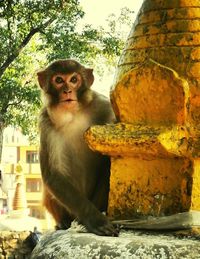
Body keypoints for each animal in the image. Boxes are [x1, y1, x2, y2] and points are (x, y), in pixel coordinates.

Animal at [37, 59, 118, 238]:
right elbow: (53, 175)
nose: (67, 90)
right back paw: (64, 222)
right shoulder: (45, 122)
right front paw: (95, 220)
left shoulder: (103, 105)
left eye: (74, 80)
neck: (74, 114)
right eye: (59, 80)